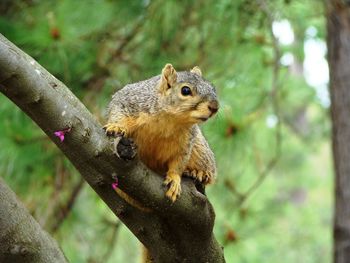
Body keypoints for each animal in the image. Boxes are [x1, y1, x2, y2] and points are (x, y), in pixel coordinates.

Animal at [103, 63, 219, 202]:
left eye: (213, 88)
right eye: (185, 90)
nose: (215, 107)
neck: (170, 118)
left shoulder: (186, 141)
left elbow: (179, 162)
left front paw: (174, 179)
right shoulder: (131, 100)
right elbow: (118, 111)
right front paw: (117, 127)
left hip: (199, 147)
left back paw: (199, 172)